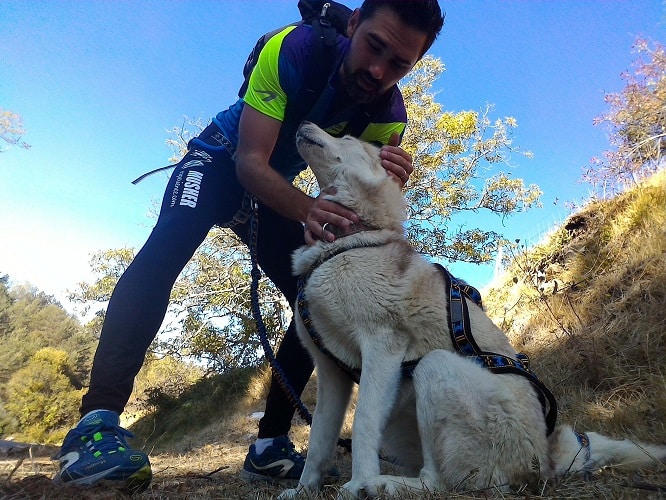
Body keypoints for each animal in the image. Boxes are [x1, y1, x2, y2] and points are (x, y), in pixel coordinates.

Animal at [278, 120, 664, 496]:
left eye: (346, 137)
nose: (304, 121)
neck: (344, 244)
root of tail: (547, 456)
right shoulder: (331, 371)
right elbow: (319, 441)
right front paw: (304, 490)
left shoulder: (381, 347)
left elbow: (361, 426)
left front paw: (356, 483)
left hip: (434, 368)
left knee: (441, 481)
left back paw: (380, 485)